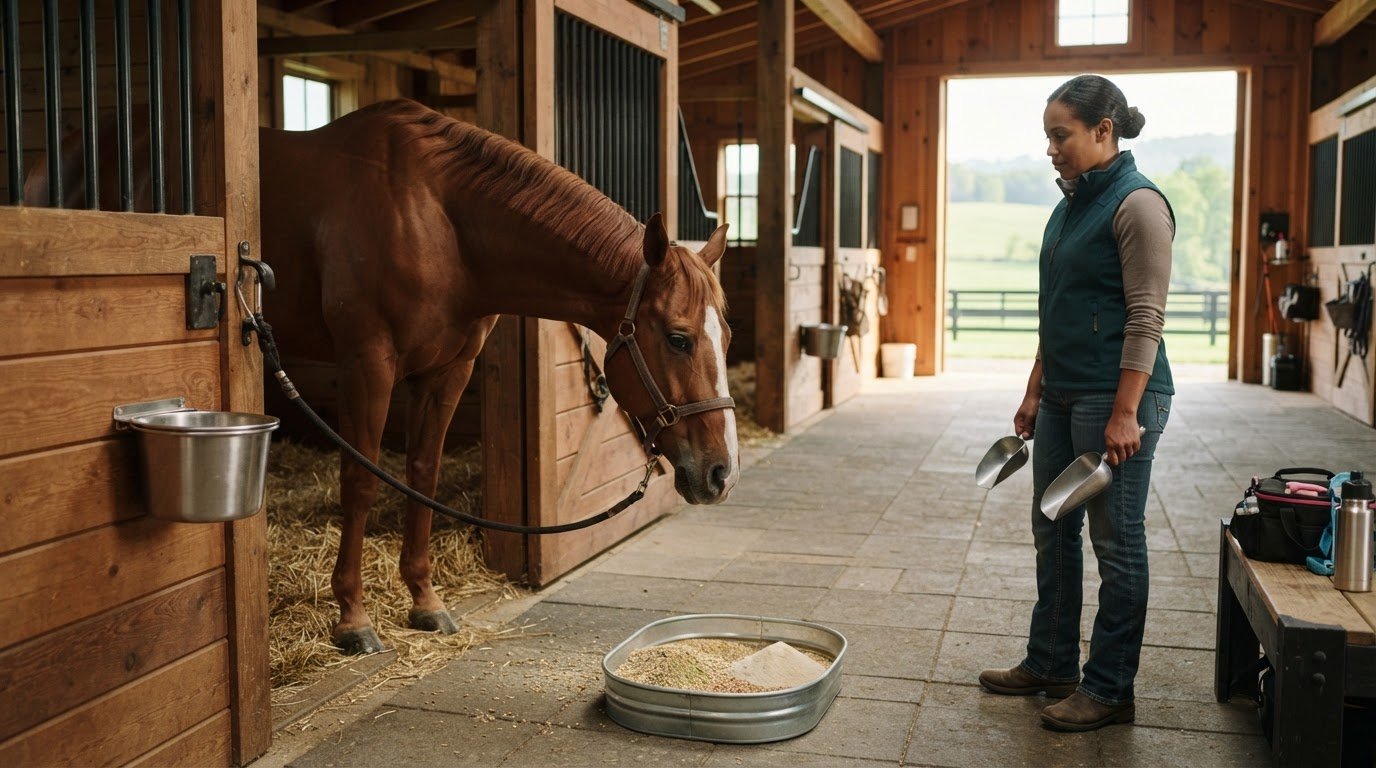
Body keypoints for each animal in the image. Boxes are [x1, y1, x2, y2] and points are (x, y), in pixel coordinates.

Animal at [256, 99, 738, 653]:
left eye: (727, 337)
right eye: (679, 339)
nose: (722, 474)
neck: (430, 217)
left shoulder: (448, 369)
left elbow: (424, 472)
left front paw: (425, 601)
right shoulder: (366, 362)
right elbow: (359, 480)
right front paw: (354, 618)